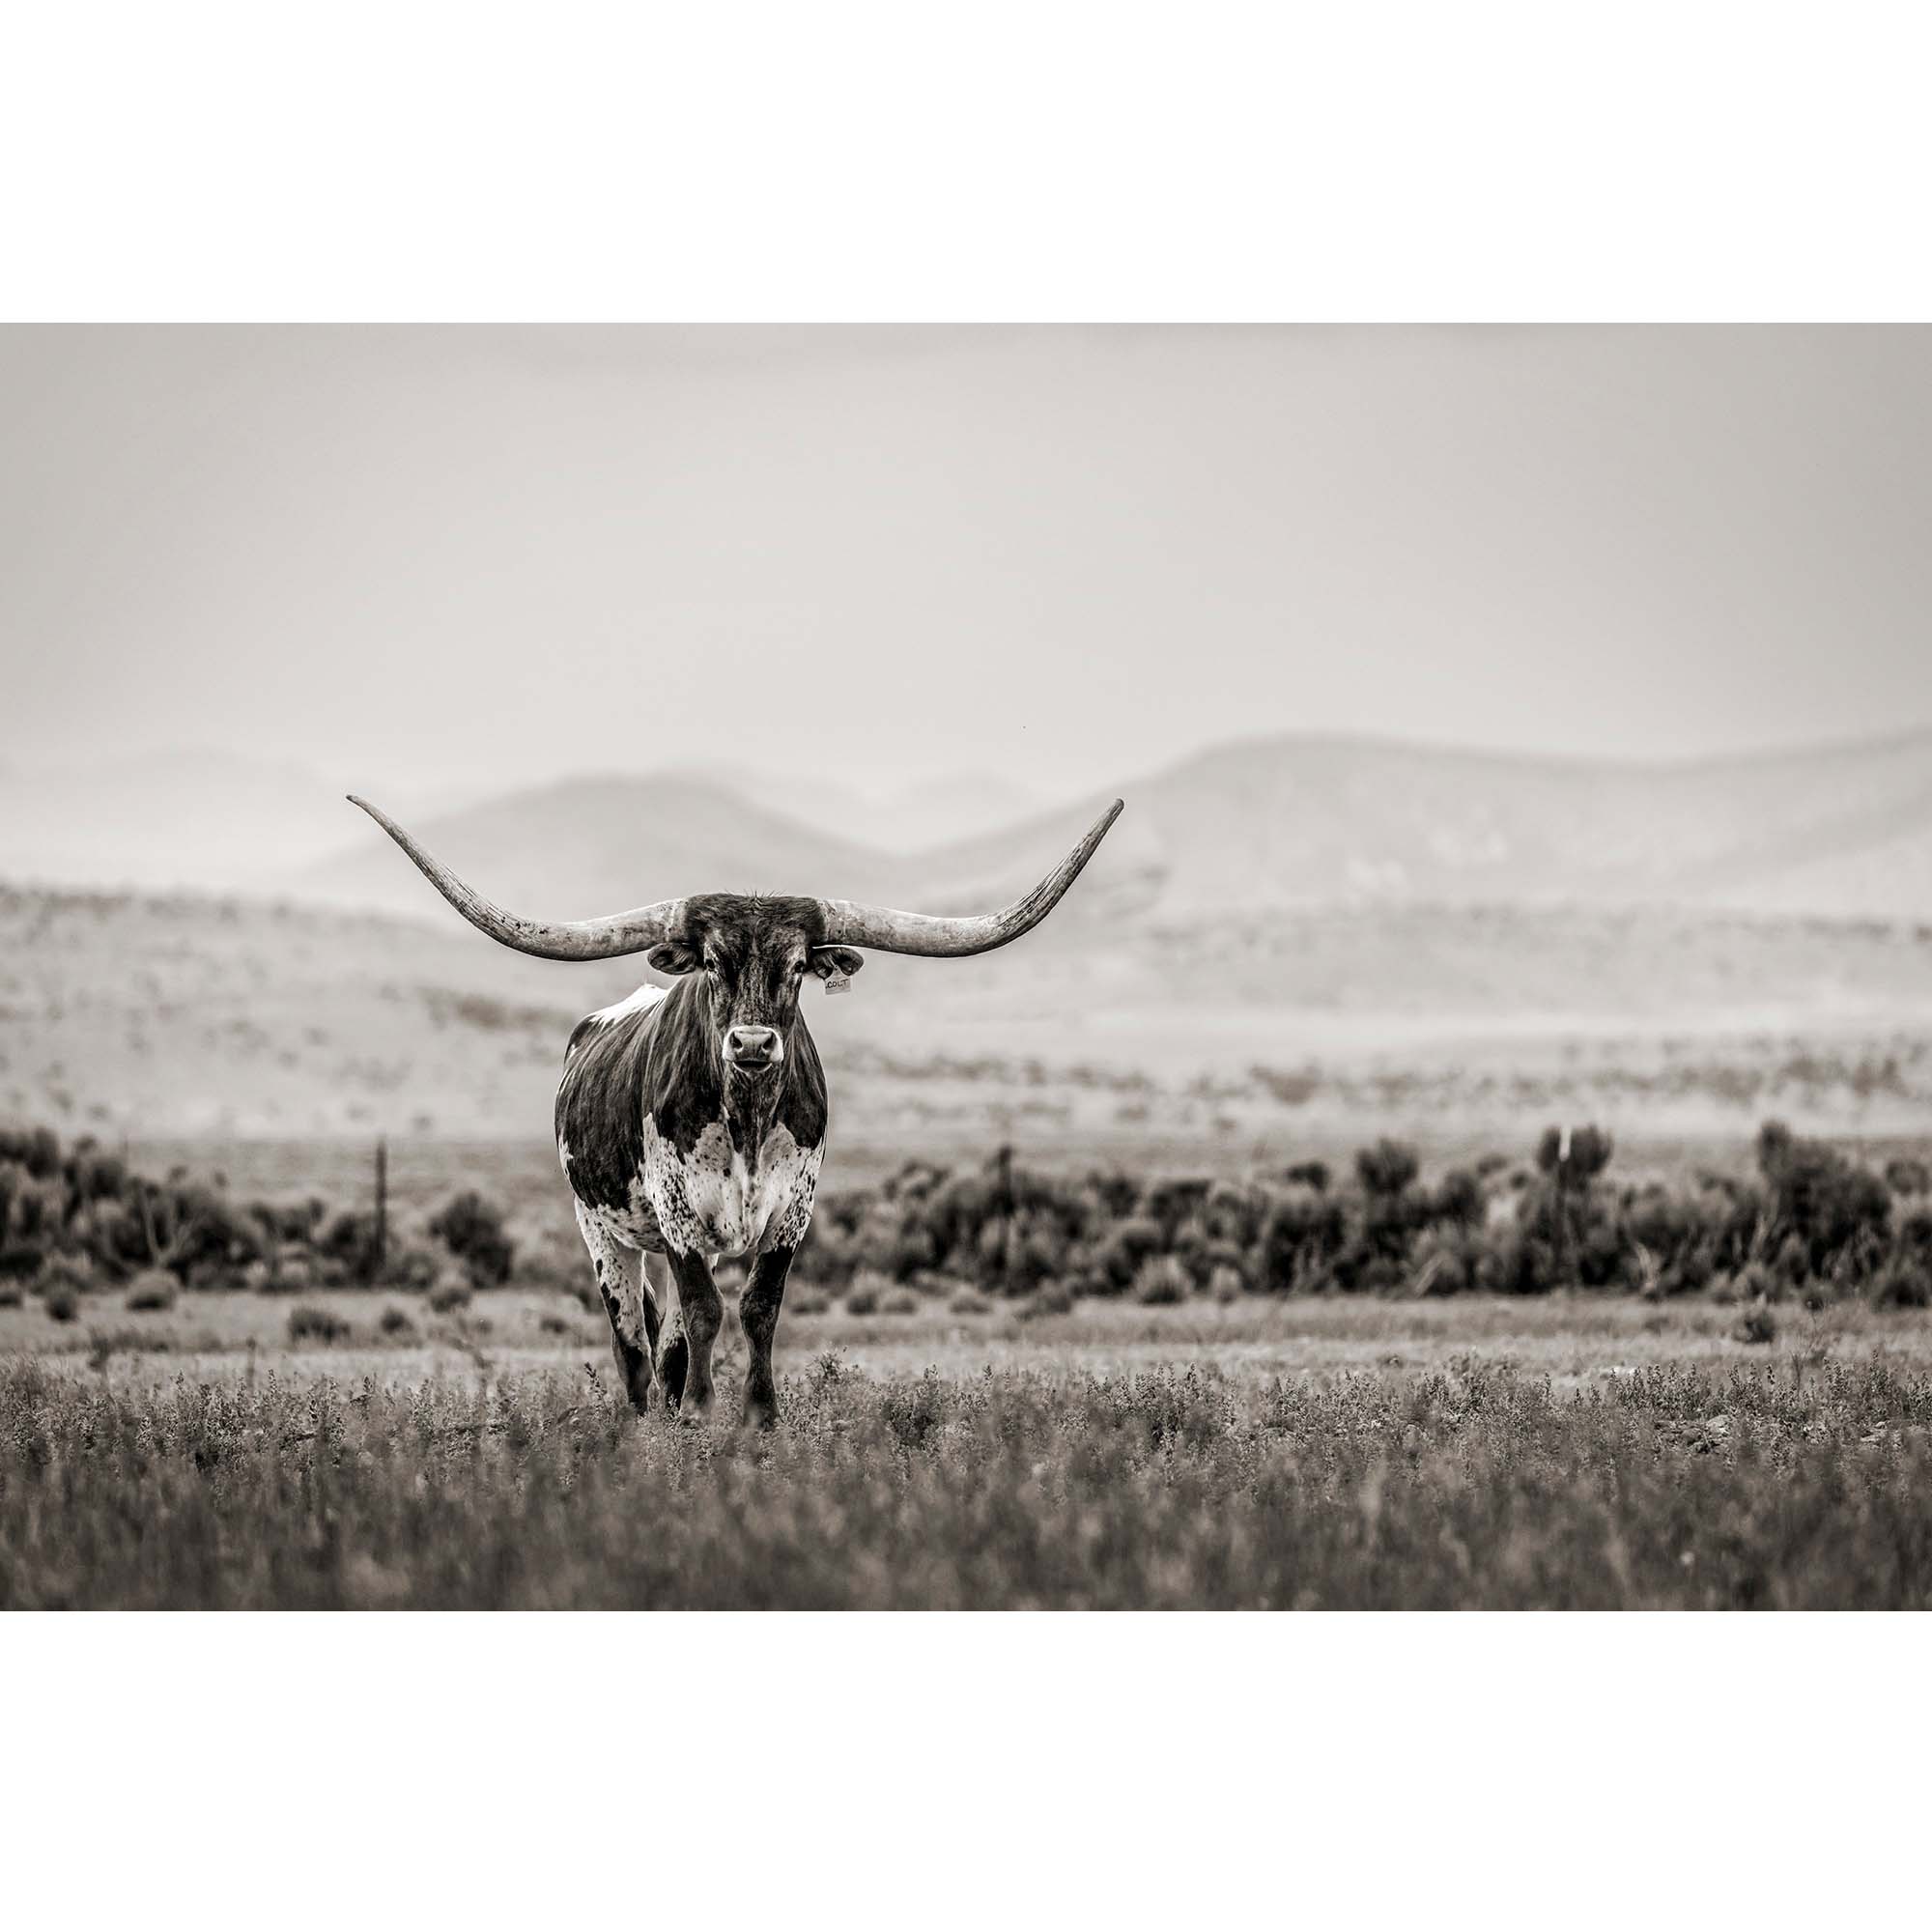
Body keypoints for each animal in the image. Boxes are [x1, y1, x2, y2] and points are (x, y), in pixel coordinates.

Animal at [346, 794, 1124, 1425]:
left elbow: (756, 1308)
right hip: (603, 1230)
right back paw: (648, 1415)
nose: (752, 1043)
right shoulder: (678, 1210)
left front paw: (759, 1414)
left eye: (799, 966)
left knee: (665, 1333)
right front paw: (701, 1411)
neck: (747, 1122)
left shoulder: (793, 1211)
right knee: (633, 1332)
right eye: (713, 964)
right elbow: (703, 1310)